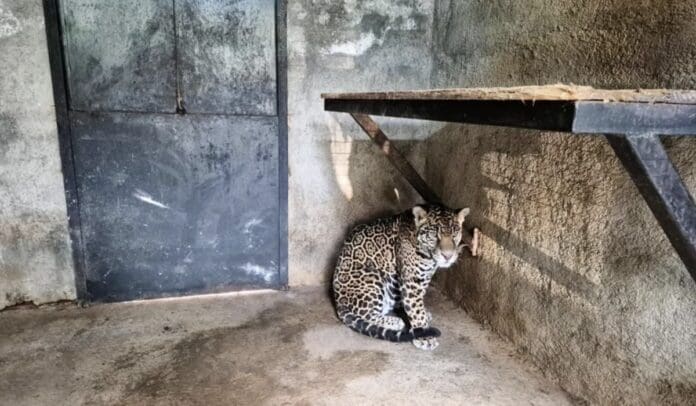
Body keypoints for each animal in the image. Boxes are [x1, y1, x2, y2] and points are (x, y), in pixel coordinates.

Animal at [332, 203, 470, 350]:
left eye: (455, 233)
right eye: (434, 234)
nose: (448, 256)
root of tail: (338, 302)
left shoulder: (423, 278)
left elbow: (416, 305)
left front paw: (422, 318)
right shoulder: (412, 283)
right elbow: (416, 309)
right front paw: (425, 337)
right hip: (372, 276)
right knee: (366, 314)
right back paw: (395, 321)